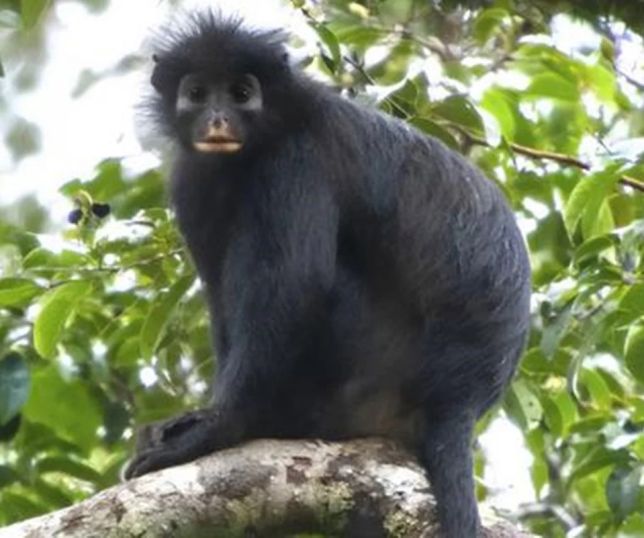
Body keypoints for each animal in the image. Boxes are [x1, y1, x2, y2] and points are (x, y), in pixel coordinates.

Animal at [124, 12, 531, 538]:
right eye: (197, 93)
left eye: (241, 93)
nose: (217, 119)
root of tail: (460, 398)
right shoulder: (193, 181)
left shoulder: (296, 161)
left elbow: (295, 287)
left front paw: (221, 427)